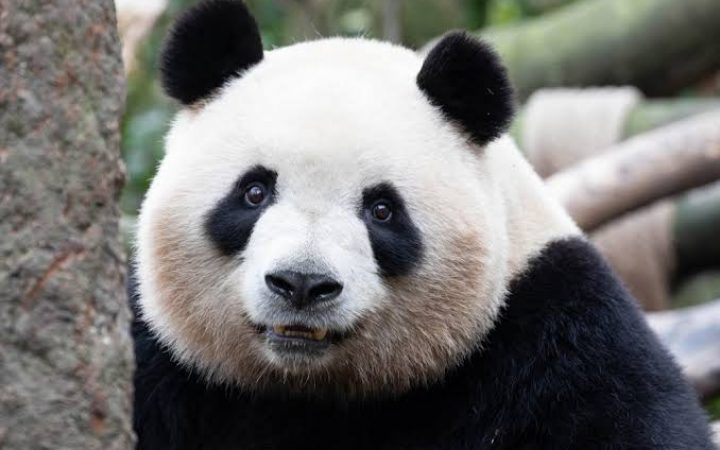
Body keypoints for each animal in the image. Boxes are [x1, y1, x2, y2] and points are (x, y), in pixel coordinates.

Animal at [130, 1, 715, 449]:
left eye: (382, 210)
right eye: (254, 192)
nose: (301, 284)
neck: (311, 387)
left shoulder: (557, 333)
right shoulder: (161, 353)